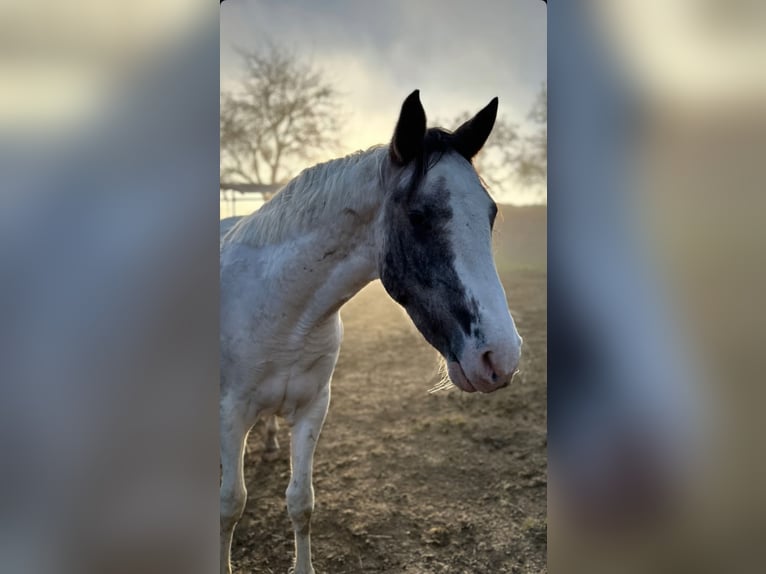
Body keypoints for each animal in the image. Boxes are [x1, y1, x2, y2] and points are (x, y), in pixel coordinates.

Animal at [219, 90, 523, 574]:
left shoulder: (313, 408)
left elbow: (301, 502)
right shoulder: (231, 415)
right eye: (418, 216)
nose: (502, 357)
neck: (283, 312)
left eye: (491, 214)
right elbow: (231, 505)